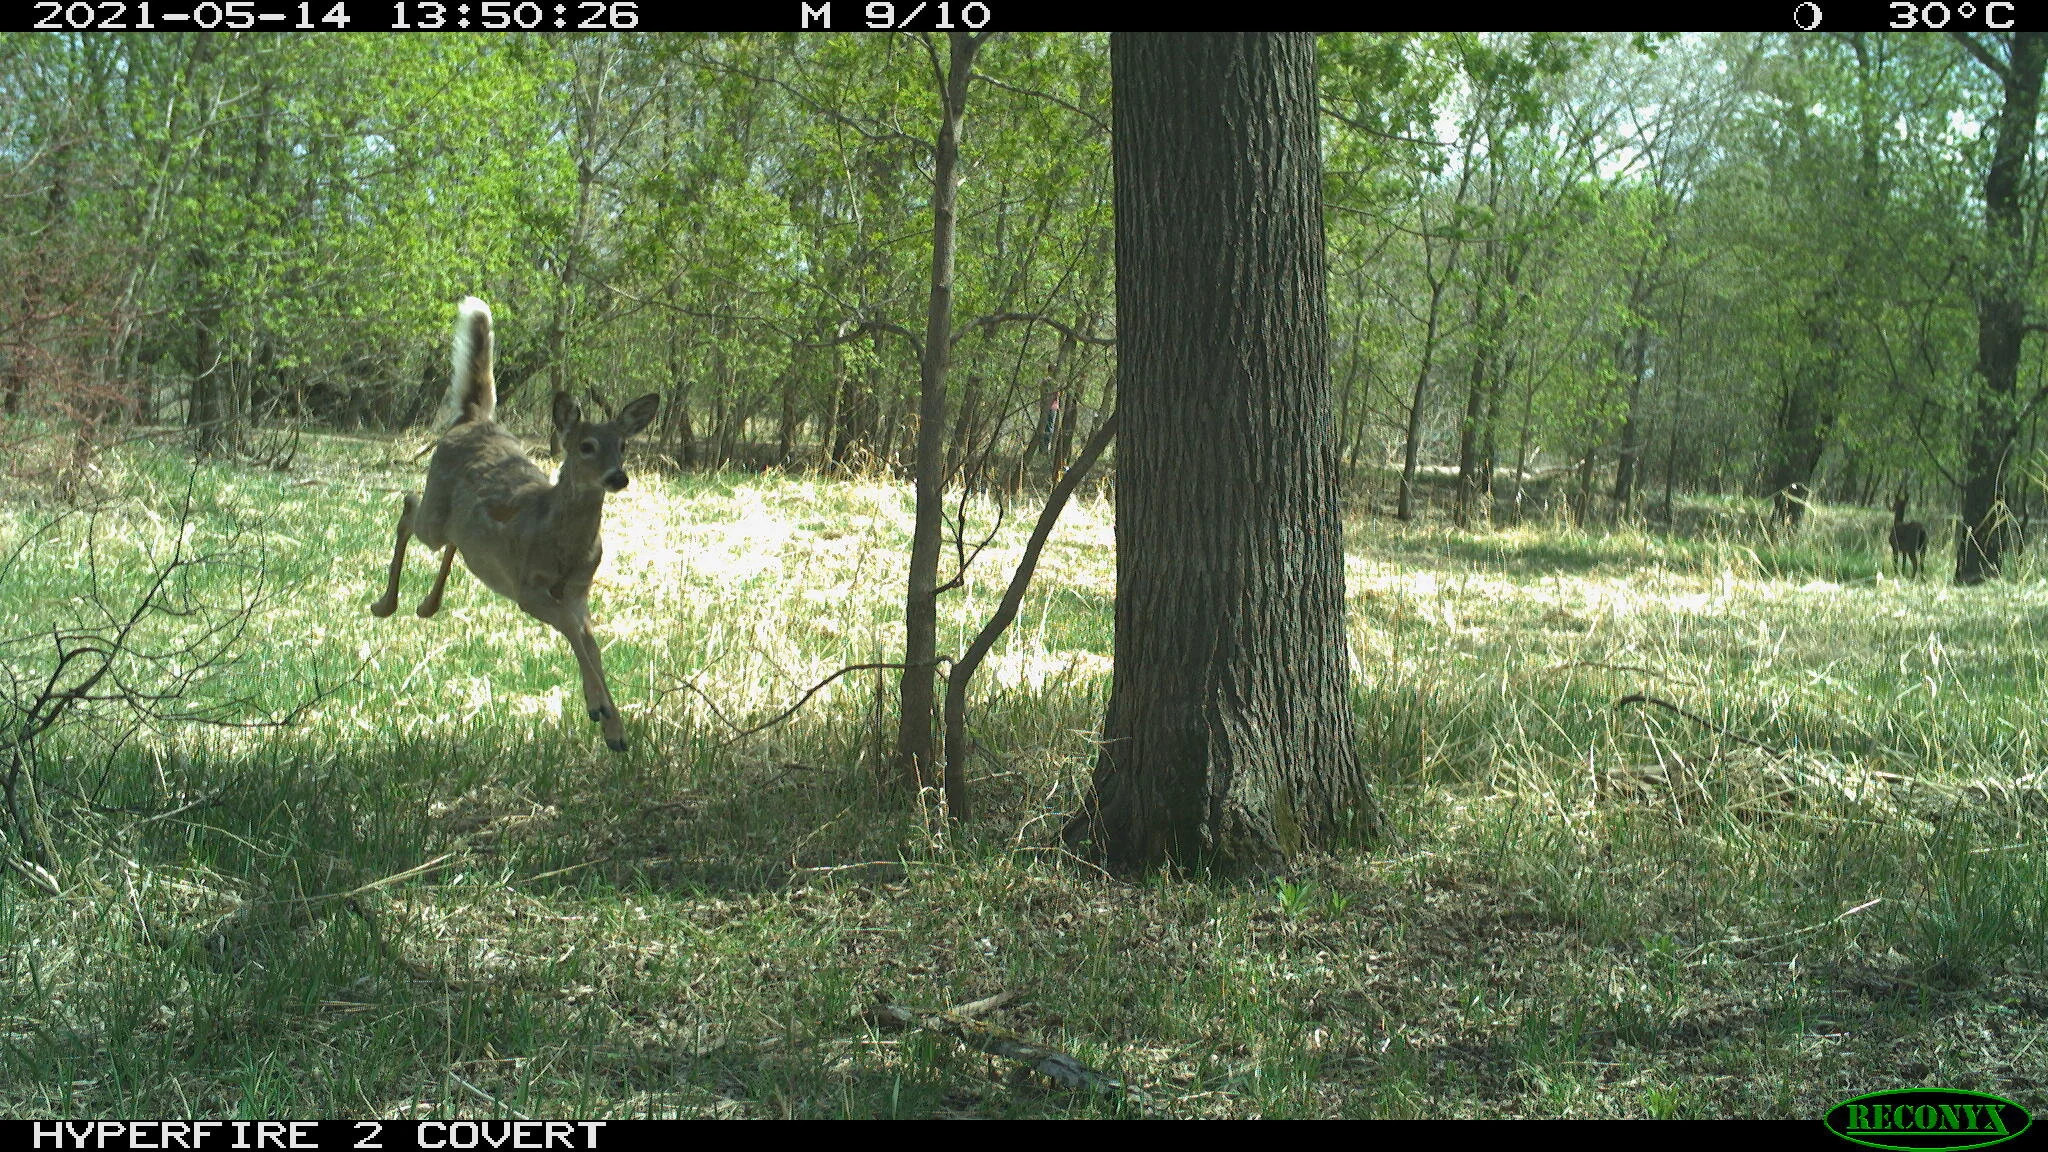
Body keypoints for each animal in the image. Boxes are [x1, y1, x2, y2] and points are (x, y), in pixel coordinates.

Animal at [370, 297, 660, 752]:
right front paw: (602, 712)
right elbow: (574, 633)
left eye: (624, 445)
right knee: (409, 506)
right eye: (586, 446)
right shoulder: (529, 587)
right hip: (434, 512)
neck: (560, 538)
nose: (618, 477)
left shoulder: (578, 589)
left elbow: (590, 642)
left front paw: (611, 724)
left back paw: (426, 605)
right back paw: (385, 604)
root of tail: (474, 418)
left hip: (461, 526)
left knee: (451, 538)